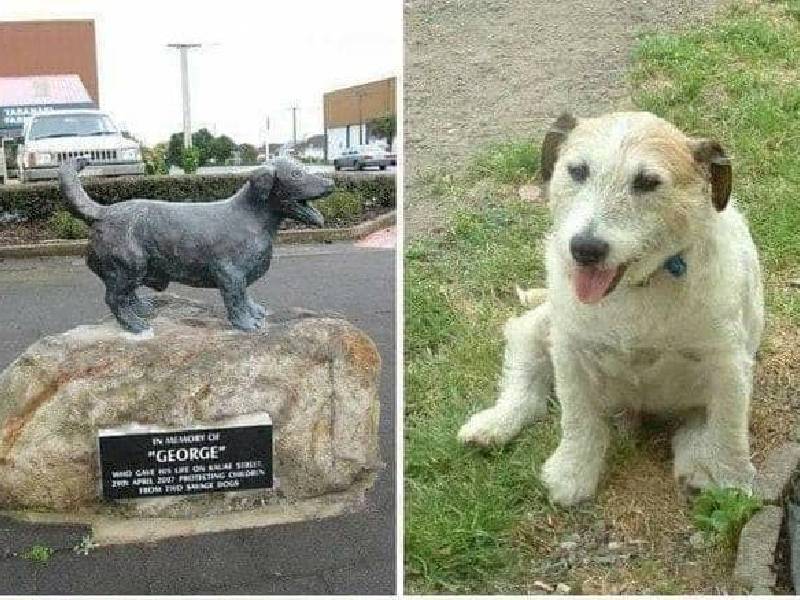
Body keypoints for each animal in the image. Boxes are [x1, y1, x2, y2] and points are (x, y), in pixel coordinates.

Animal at [456, 111, 764, 506]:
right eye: (577, 170)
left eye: (647, 182)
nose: (584, 249)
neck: (637, 288)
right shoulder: (570, 354)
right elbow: (577, 417)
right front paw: (572, 472)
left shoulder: (727, 364)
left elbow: (728, 430)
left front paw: (732, 483)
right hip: (540, 329)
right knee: (526, 377)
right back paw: (495, 423)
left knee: (700, 428)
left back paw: (698, 467)